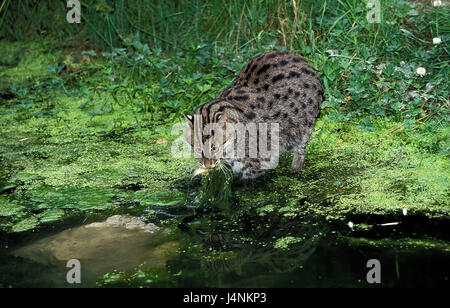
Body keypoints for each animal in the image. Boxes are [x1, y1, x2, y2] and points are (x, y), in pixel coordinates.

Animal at [184, 50, 324, 179]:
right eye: (196, 148)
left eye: (214, 148)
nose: (207, 166)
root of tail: (304, 60)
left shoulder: (256, 165)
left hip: (306, 124)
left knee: (301, 146)